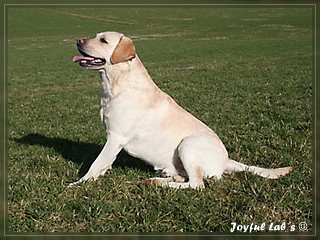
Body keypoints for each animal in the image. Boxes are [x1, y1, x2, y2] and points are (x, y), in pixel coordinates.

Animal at [70, 31, 292, 188]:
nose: (78, 40)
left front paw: (79, 184)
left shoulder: (115, 137)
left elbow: (96, 163)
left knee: (196, 184)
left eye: (103, 41)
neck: (116, 83)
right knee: (183, 178)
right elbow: (103, 163)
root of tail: (226, 160)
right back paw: (158, 179)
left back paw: (162, 184)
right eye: (95, 36)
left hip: (188, 145)